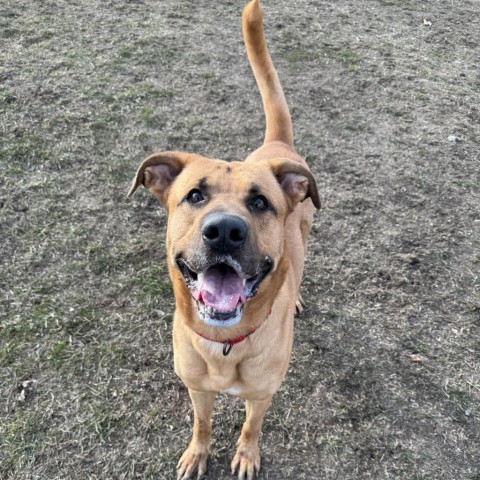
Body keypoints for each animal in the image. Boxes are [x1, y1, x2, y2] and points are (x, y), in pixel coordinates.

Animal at [129, 1, 320, 478]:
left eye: (260, 202)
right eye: (195, 195)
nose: (225, 232)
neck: (226, 346)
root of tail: (276, 146)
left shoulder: (262, 394)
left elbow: (251, 427)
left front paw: (247, 455)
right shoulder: (197, 388)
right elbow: (203, 423)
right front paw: (197, 454)